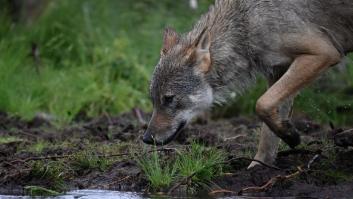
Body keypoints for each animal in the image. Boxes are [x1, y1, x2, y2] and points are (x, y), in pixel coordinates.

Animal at [142, 0, 352, 168]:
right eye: (153, 100)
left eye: (169, 99)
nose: (145, 139)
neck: (246, 24)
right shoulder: (278, 71)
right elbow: (267, 134)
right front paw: (258, 168)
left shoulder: (323, 53)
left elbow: (261, 104)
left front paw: (291, 136)